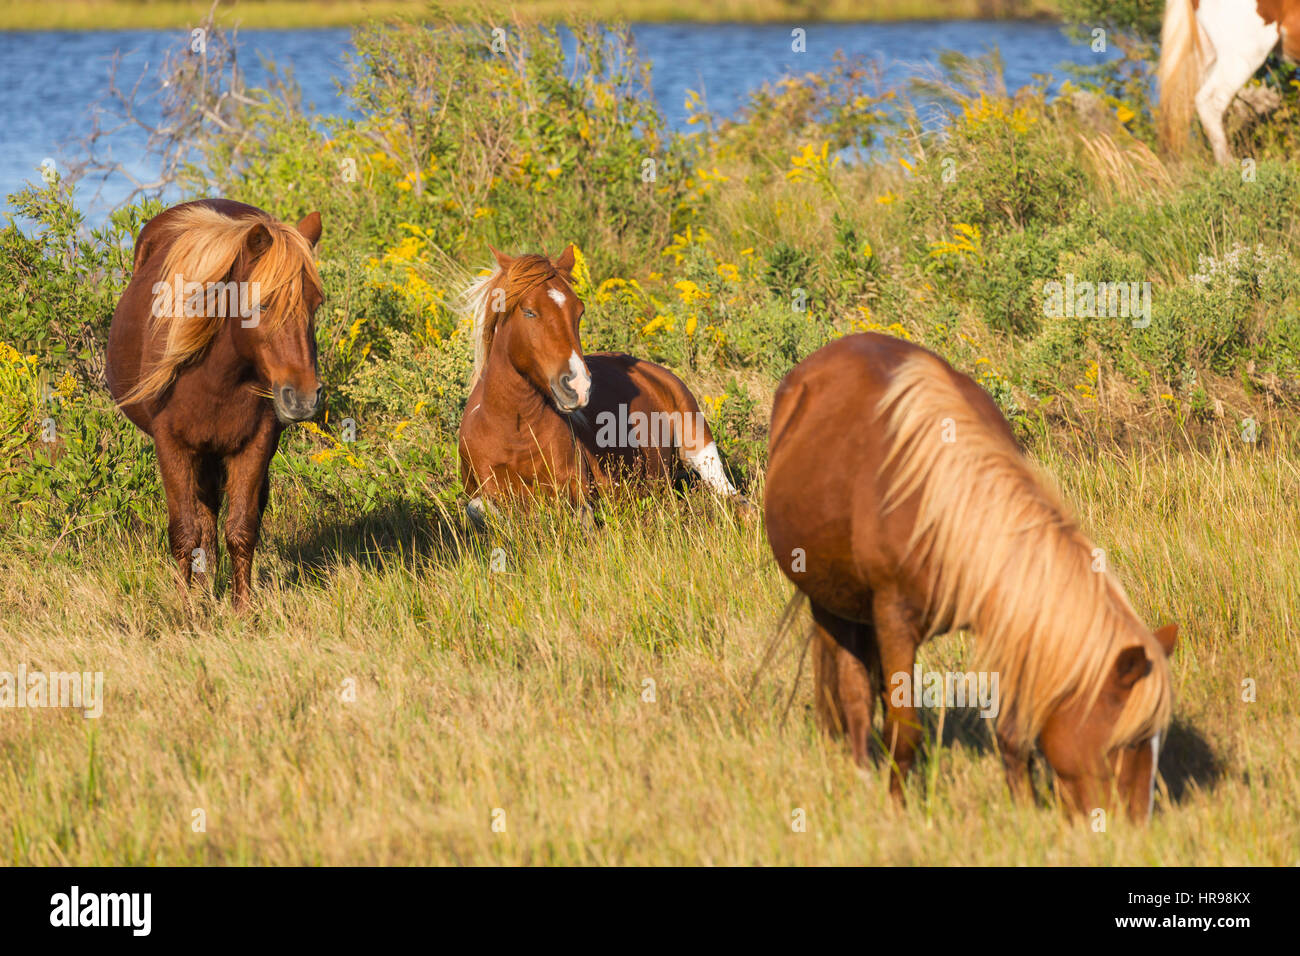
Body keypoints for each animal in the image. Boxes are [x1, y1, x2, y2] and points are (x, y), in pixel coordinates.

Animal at [105, 197, 325, 608]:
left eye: (315, 303)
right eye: (262, 305)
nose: (304, 397)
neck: (216, 377)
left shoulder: (254, 446)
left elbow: (241, 529)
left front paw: (242, 610)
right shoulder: (172, 446)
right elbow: (184, 533)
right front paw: (186, 608)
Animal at [457, 243, 743, 520]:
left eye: (579, 311)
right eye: (528, 312)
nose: (578, 386)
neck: (513, 432)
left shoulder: (576, 487)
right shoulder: (483, 491)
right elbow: (478, 510)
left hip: (701, 449)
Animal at [759, 335, 1180, 822]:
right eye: (1127, 742)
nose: (1136, 826)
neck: (944, 507)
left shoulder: (1008, 621)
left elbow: (1012, 733)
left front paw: (1023, 811)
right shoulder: (895, 618)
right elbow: (904, 728)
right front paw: (899, 810)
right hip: (829, 600)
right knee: (852, 691)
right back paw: (863, 773)